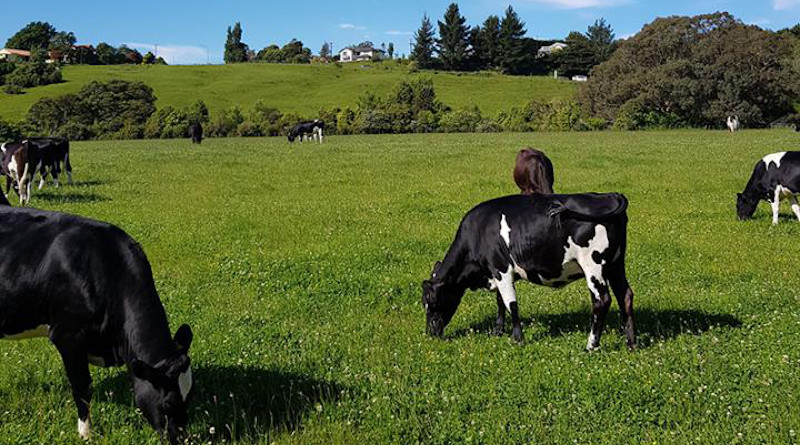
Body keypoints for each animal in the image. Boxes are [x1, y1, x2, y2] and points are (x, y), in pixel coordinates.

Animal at [0, 203, 194, 442]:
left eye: (190, 395)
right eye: (168, 404)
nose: (183, 439)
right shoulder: (68, 336)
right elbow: (83, 387)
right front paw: (85, 433)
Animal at [418, 193, 636, 350]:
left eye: (432, 301)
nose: (431, 332)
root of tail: (608, 195)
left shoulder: (501, 269)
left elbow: (511, 304)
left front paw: (518, 339)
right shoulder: (496, 273)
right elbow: (500, 302)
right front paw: (498, 331)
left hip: (593, 265)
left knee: (602, 300)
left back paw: (591, 346)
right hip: (616, 264)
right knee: (625, 295)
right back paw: (630, 343)